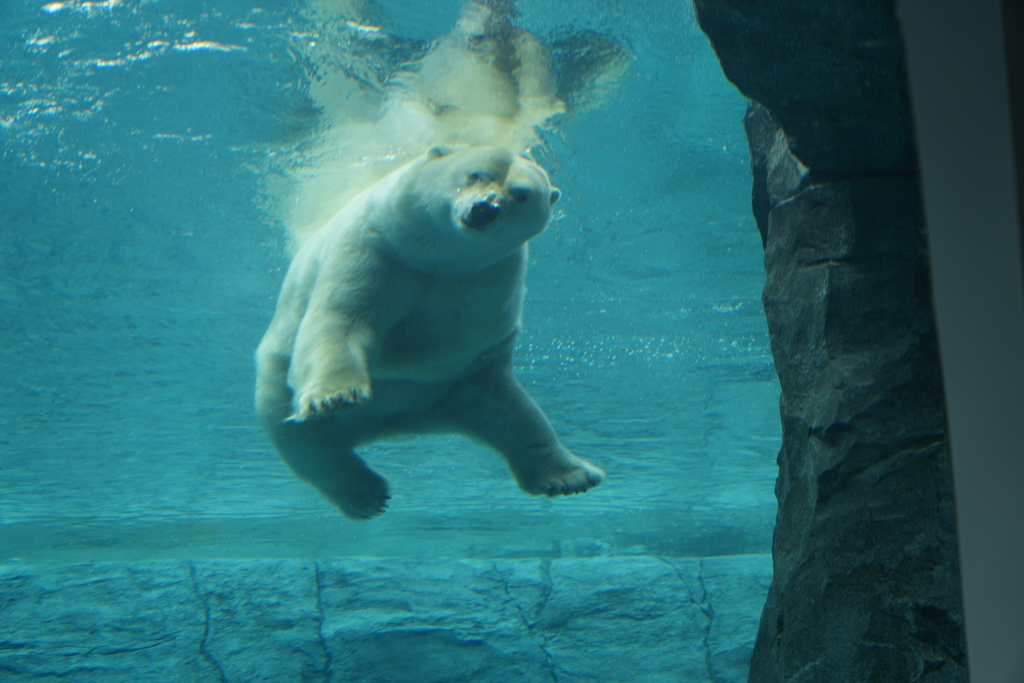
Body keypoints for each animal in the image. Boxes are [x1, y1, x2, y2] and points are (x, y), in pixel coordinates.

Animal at [256, 144, 602, 518]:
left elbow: (453, 345)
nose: (485, 209)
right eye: (474, 174)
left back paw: (571, 476)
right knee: (304, 443)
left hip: (460, 393)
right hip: (277, 385)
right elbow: (344, 317)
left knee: (517, 416)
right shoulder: (374, 245)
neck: (434, 255)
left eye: (521, 194)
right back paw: (365, 494)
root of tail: (395, 423)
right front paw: (336, 396)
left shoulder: (488, 277)